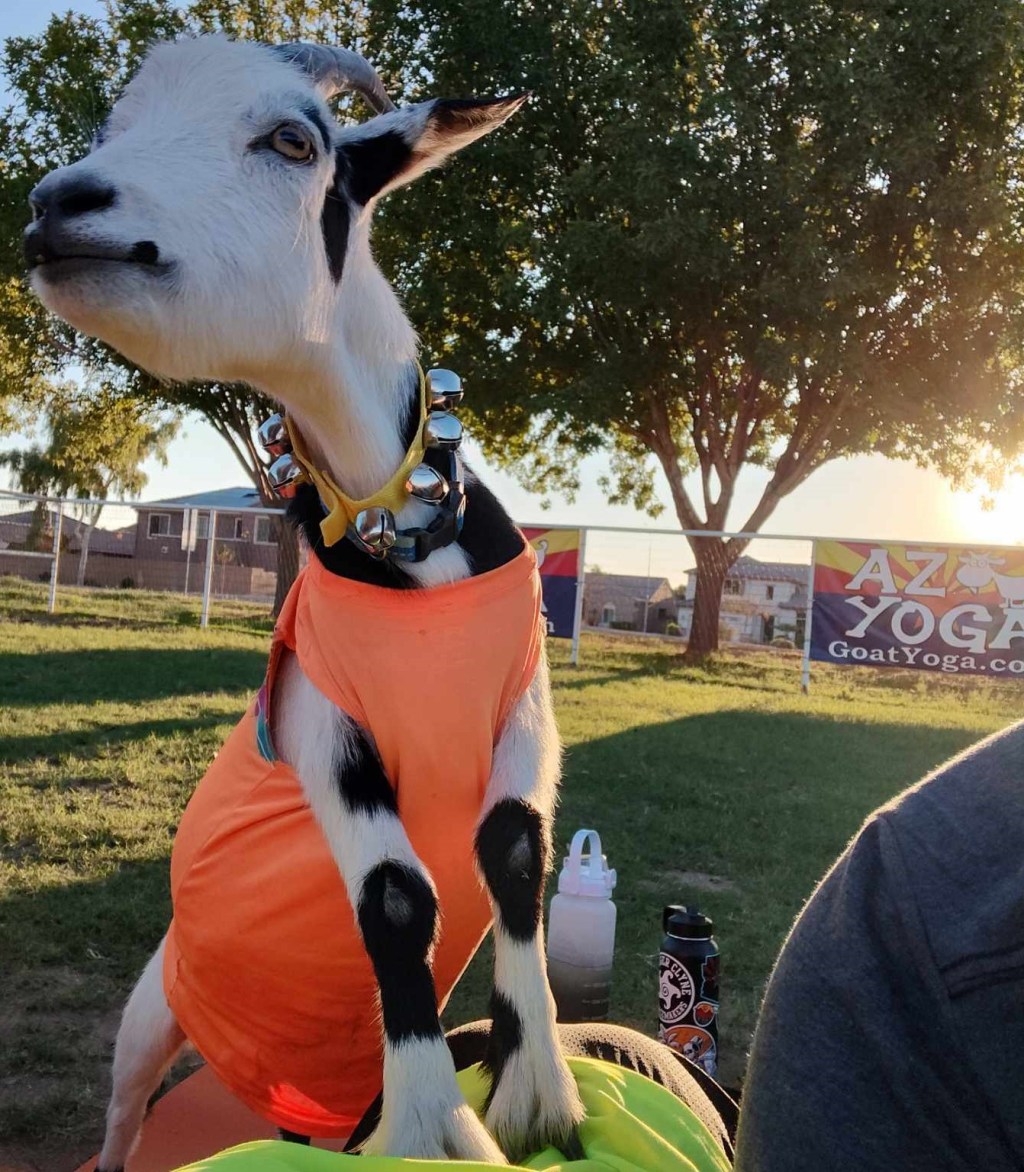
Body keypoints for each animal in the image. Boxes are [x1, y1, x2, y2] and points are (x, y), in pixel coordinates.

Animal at [25, 35, 584, 1167]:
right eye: (111, 129)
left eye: (294, 139)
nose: (58, 202)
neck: (411, 548)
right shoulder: (323, 718)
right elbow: (397, 897)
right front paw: (432, 1120)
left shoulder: (526, 701)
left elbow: (512, 846)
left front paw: (534, 1084)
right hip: (151, 1009)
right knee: (123, 1114)